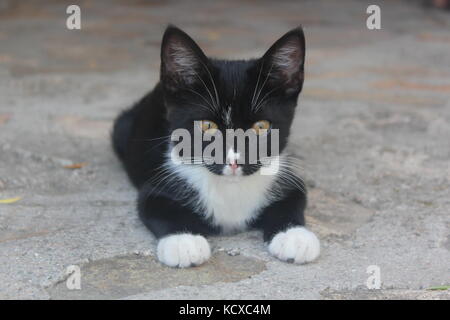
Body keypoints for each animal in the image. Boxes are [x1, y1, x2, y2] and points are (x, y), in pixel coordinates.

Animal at [112, 25, 320, 268]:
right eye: (207, 126)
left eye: (261, 127)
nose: (234, 160)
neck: (230, 188)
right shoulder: (157, 183)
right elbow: (157, 207)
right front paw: (184, 241)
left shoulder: (285, 175)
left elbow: (294, 199)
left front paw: (294, 236)